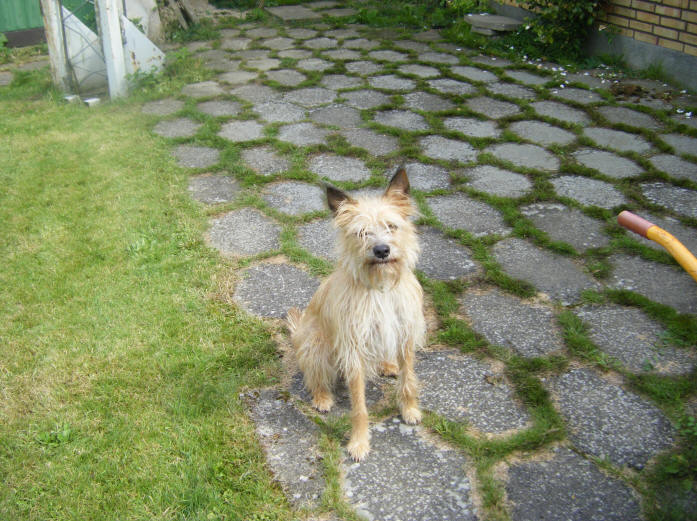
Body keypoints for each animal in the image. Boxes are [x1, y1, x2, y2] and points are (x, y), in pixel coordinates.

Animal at [287, 167, 426, 461]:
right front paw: (359, 442)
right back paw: (322, 398)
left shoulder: (405, 333)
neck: (380, 287)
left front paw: (409, 408)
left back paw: (387, 365)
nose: (382, 250)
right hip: (315, 343)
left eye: (391, 226)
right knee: (315, 376)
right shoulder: (353, 350)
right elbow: (359, 404)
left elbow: (408, 378)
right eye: (362, 232)